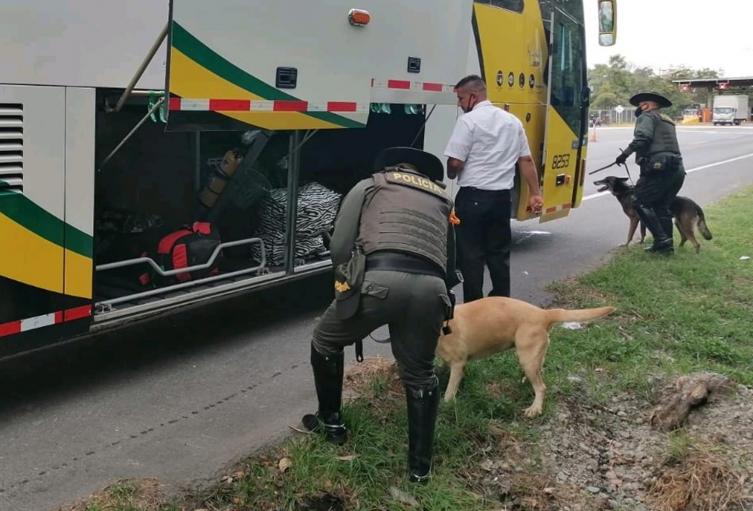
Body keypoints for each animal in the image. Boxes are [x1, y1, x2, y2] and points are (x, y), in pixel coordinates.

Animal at [438, 298, 612, 418]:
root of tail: (544, 313)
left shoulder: (458, 364)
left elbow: (449, 392)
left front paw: (445, 407)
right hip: (533, 357)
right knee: (538, 373)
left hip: (527, 358)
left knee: (541, 387)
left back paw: (535, 408)